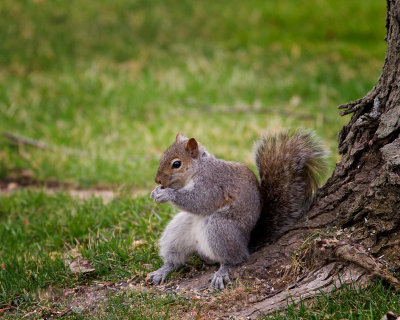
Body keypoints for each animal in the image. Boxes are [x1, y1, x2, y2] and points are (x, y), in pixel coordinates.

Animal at [148, 129, 328, 288]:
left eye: (176, 164)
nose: (157, 180)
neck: (199, 168)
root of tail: (246, 243)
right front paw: (155, 192)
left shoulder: (213, 184)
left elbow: (200, 201)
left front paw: (167, 194)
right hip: (179, 230)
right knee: (176, 258)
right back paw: (163, 270)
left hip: (221, 228)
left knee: (236, 258)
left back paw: (223, 270)